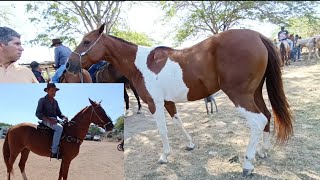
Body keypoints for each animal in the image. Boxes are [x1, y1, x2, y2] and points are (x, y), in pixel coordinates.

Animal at [66, 23, 294, 177]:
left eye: (86, 42)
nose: (69, 65)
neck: (141, 64)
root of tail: (257, 36)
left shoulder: (154, 104)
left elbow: (163, 130)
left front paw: (164, 156)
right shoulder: (168, 102)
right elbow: (178, 122)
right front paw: (190, 144)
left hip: (240, 95)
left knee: (258, 121)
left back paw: (247, 164)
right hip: (254, 93)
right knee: (266, 115)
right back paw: (263, 151)